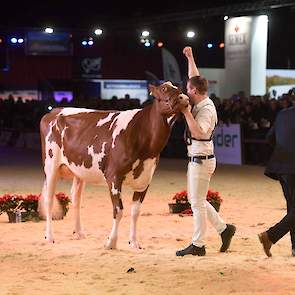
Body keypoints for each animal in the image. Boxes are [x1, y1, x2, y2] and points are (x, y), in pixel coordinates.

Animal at [38, 81, 190, 250]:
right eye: (164, 88)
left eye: (179, 88)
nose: (184, 98)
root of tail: (53, 111)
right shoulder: (114, 176)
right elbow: (119, 211)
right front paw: (111, 242)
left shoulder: (145, 180)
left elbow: (135, 212)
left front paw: (134, 242)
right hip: (50, 165)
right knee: (49, 199)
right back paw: (49, 237)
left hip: (79, 170)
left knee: (76, 199)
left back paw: (79, 233)